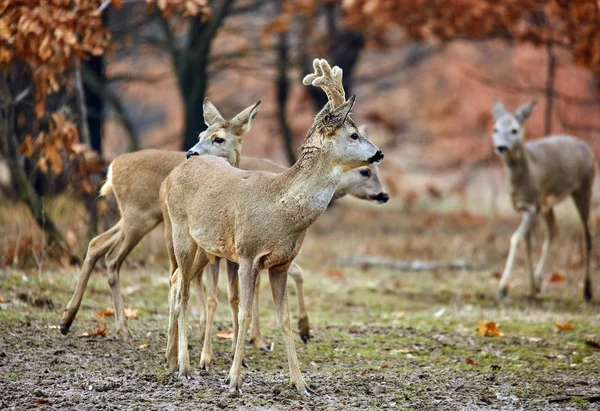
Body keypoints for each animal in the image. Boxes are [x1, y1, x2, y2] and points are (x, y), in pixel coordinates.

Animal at [59, 98, 262, 340]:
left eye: (218, 138)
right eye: (200, 134)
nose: (190, 153)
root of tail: (112, 168)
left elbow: (231, 296)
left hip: (136, 217)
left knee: (96, 243)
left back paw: (68, 320)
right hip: (141, 217)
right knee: (115, 257)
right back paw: (123, 328)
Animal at [162, 56, 382, 394]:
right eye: (354, 135)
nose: (379, 153)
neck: (279, 208)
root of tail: (178, 169)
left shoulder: (280, 263)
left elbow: (284, 319)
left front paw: (301, 383)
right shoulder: (247, 253)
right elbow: (243, 309)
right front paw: (233, 380)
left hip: (205, 246)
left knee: (175, 283)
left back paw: (172, 360)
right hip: (180, 232)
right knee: (183, 292)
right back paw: (185, 367)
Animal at [492, 99, 596, 300]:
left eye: (514, 130)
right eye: (495, 129)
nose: (501, 147)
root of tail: (587, 148)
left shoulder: (532, 206)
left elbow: (516, 238)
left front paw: (503, 287)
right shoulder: (526, 208)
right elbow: (528, 244)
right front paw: (531, 287)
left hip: (584, 186)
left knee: (586, 234)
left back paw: (587, 290)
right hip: (548, 204)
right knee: (553, 231)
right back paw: (539, 283)